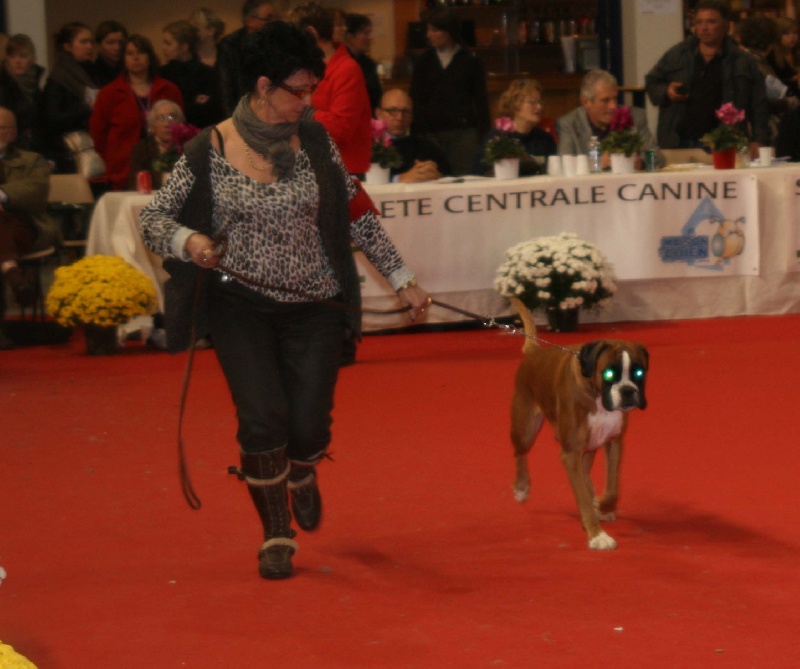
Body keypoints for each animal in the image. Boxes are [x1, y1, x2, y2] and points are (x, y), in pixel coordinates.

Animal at [510, 298, 648, 548]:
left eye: (639, 373)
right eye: (609, 373)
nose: (628, 391)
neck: (597, 397)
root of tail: (534, 353)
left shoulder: (613, 442)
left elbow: (613, 486)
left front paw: (604, 506)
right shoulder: (571, 453)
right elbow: (582, 497)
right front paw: (597, 534)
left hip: (588, 448)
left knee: (584, 474)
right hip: (525, 429)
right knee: (520, 453)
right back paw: (522, 488)